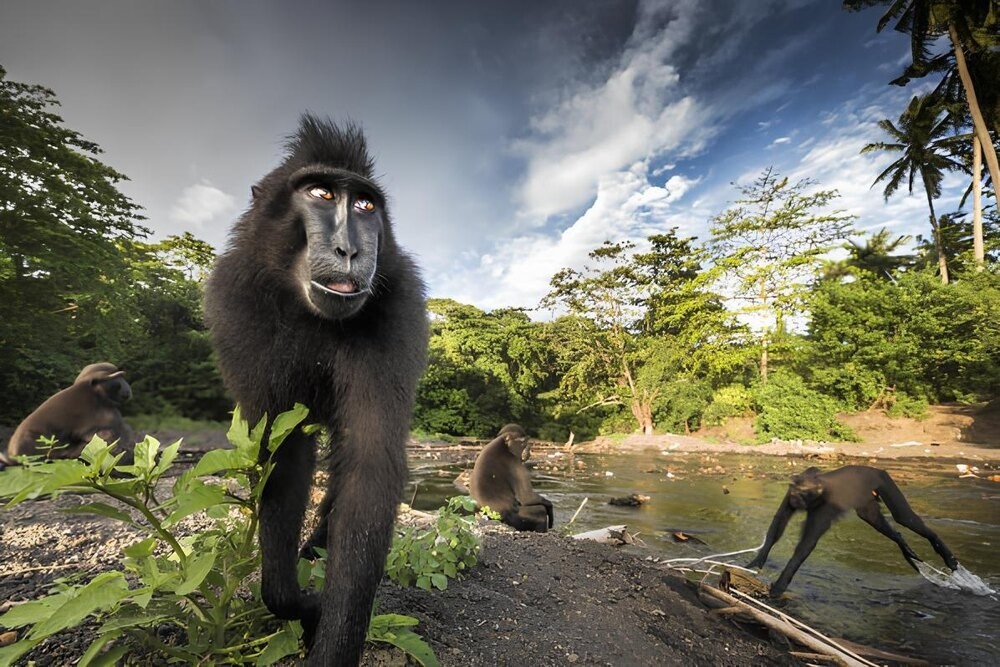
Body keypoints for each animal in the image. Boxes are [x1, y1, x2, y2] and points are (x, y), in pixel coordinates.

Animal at [752, 468, 960, 596]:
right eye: (796, 492)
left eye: (803, 493)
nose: (796, 499)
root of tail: (874, 469)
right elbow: (779, 523)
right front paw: (758, 560)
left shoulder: (826, 506)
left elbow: (806, 544)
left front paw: (780, 585)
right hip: (868, 498)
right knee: (875, 520)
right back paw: (905, 547)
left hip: (884, 481)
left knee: (904, 517)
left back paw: (944, 553)